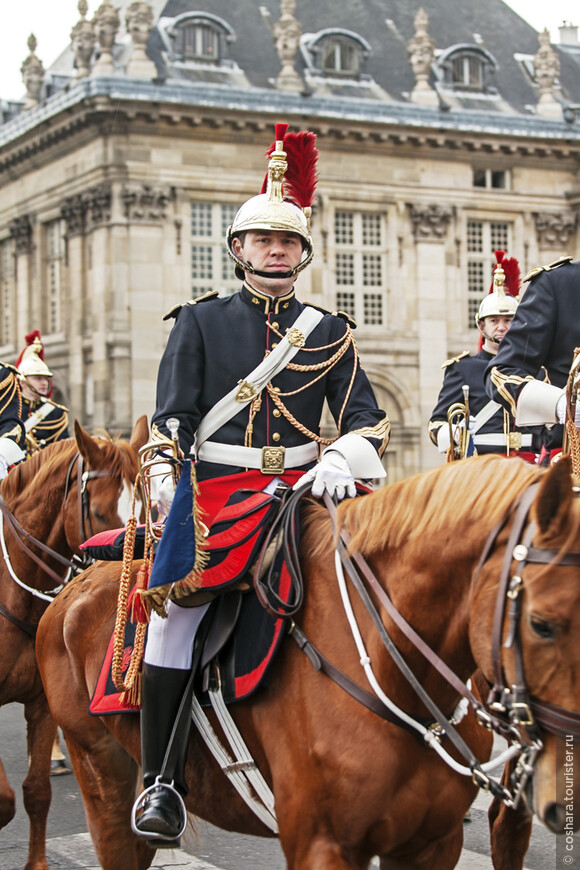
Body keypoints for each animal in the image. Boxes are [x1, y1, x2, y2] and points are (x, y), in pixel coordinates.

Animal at [36, 460, 580, 868]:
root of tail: (77, 581)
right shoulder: (321, 844)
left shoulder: (430, 845)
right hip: (104, 780)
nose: (560, 796)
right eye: (541, 624)